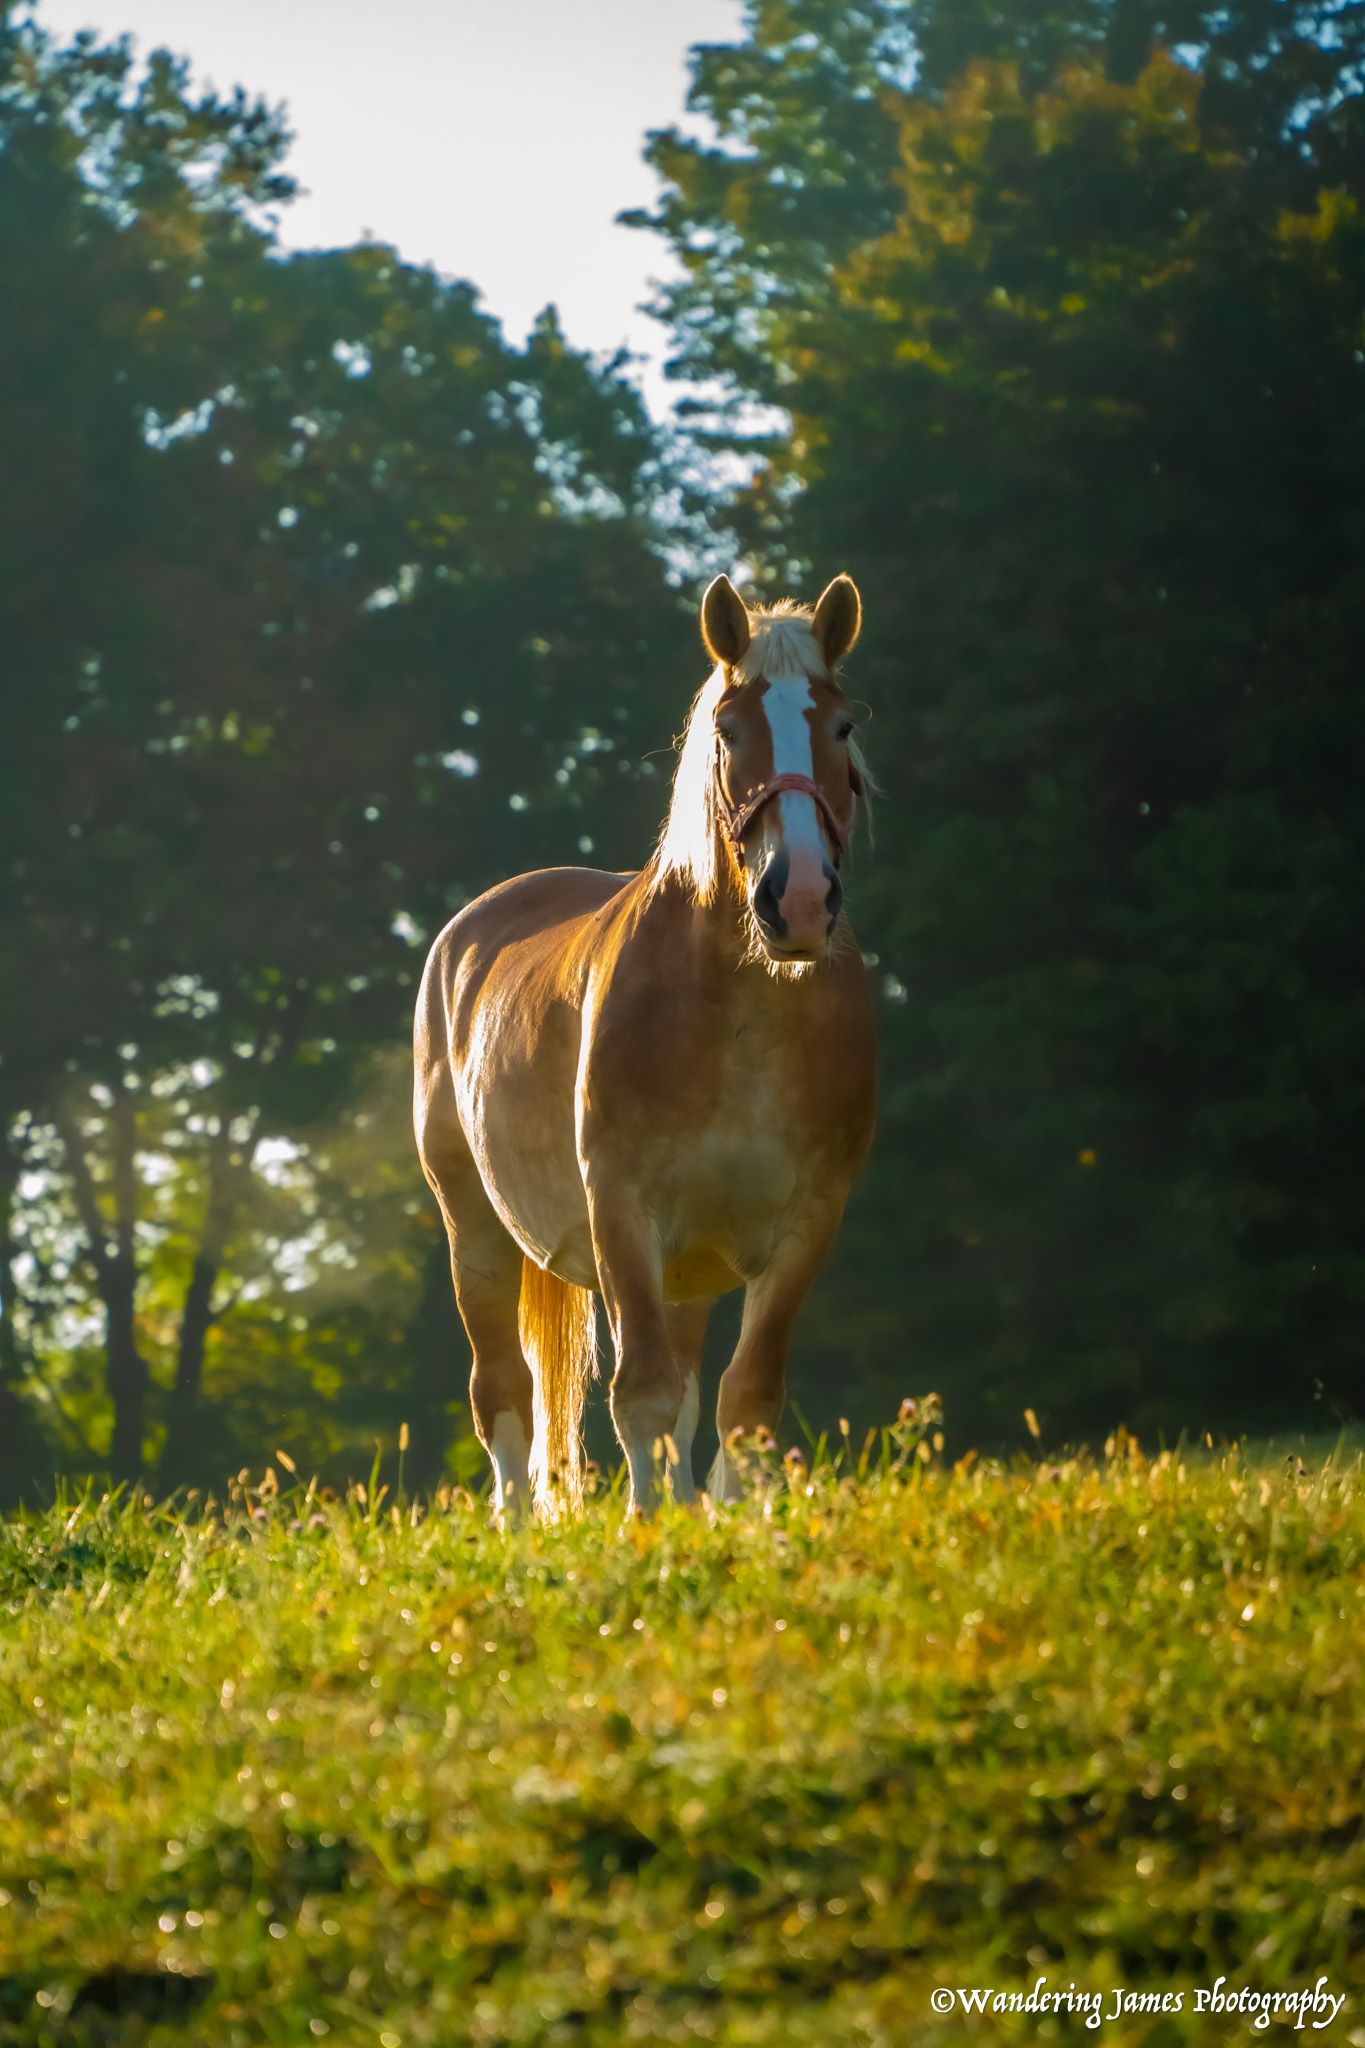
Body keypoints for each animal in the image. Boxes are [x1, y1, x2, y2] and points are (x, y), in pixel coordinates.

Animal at [413, 571, 876, 1517]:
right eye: (727, 732)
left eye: (841, 727)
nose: (799, 900)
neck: (746, 1016)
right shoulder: (623, 1215)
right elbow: (643, 1398)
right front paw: (649, 1527)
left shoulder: (807, 1224)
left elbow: (743, 1400)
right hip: (473, 1228)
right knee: (502, 1395)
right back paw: (513, 1527)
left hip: (687, 1270)